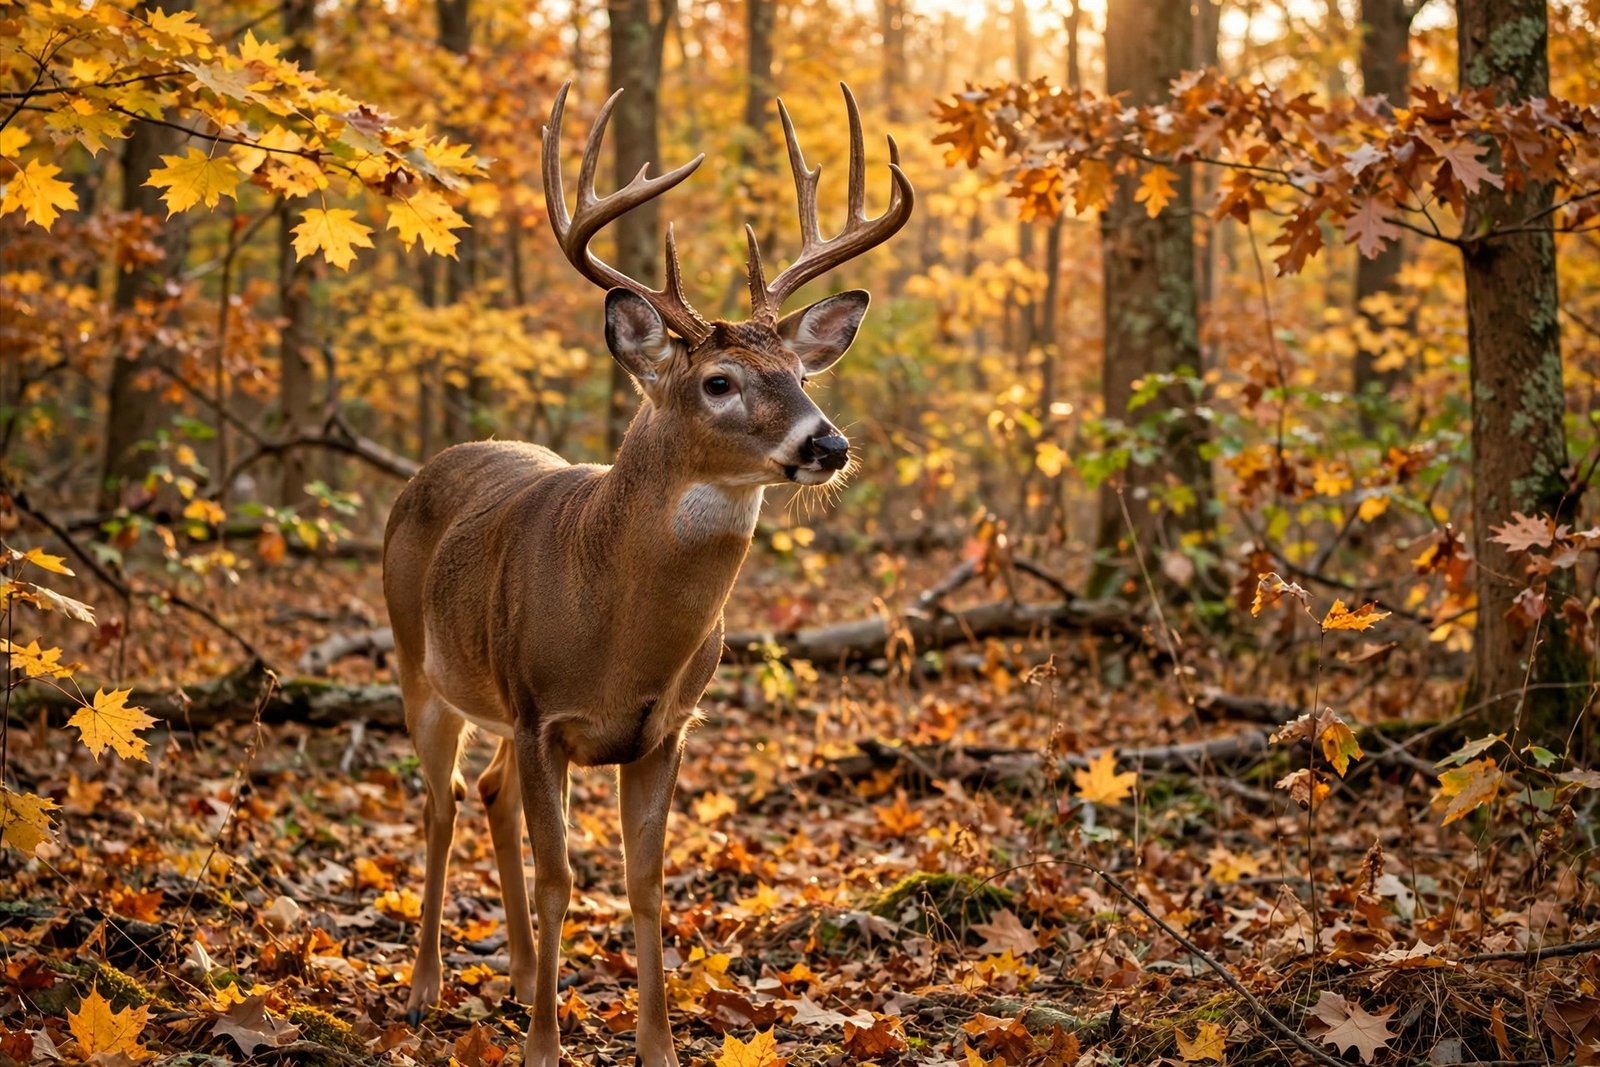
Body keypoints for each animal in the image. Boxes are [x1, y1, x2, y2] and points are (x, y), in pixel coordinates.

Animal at [381, 80, 912, 1067]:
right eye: (719, 381)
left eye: (800, 371)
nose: (827, 443)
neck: (619, 631)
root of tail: (430, 469)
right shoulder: (541, 713)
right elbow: (562, 877)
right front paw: (545, 1048)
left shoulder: (664, 727)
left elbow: (646, 881)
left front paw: (656, 1044)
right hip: (420, 668)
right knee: (439, 804)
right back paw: (426, 987)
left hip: (492, 705)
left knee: (489, 794)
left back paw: (517, 976)